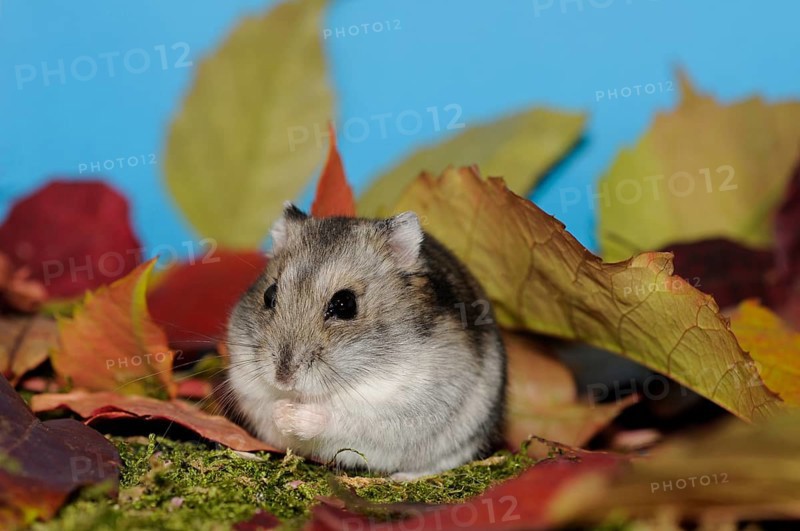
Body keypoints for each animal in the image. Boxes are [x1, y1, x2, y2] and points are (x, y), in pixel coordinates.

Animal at [226, 203, 507, 480]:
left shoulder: (400, 408)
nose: (283, 379)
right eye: (269, 295)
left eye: (345, 304)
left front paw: (298, 416)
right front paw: (283, 410)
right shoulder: (247, 387)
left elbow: (341, 418)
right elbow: (267, 408)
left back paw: (402, 478)